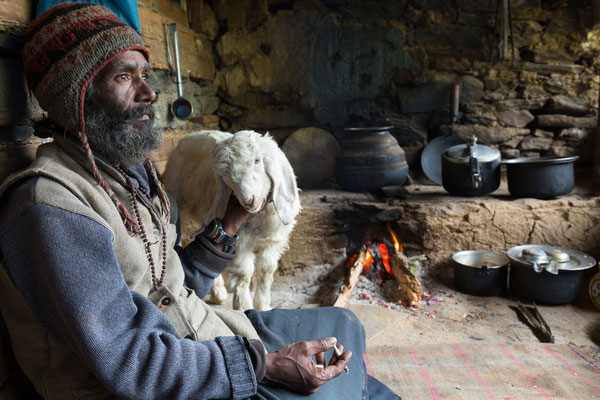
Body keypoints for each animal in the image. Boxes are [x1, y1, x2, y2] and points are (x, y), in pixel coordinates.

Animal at [163, 130, 300, 310]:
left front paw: (263, 306)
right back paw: (218, 293)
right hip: (181, 203)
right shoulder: (240, 241)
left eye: (257, 160)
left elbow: (266, 271)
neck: (259, 219)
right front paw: (245, 307)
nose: (249, 201)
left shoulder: (273, 240)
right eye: (224, 176)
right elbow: (244, 273)